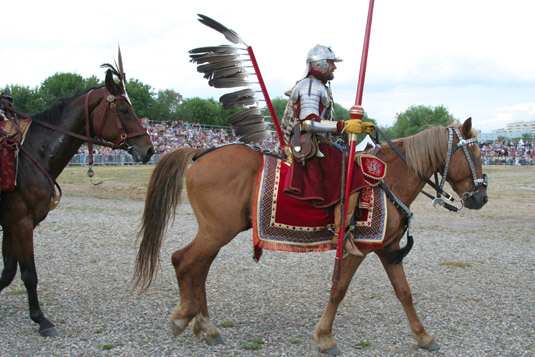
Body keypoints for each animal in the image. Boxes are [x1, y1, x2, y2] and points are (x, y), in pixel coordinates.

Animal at [0, 64, 155, 336]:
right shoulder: (21, 223)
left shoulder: (11, 224)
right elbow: (28, 274)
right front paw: (41, 319)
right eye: (125, 110)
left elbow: (8, 272)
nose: (149, 149)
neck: (30, 157)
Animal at [135, 117, 490, 354]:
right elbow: (339, 290)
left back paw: (205, 326)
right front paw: (325, 337)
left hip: (216, 232)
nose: (481, 197)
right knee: (183, 261)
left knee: (198, 269)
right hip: (216, 231)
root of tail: (200, 151)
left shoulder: (388, 249)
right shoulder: (358, 249)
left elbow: (404, 293)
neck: (388, 179)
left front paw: (423, 336)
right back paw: (186, 318)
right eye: (473, 154)